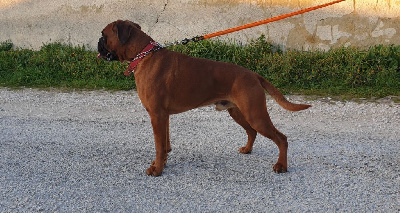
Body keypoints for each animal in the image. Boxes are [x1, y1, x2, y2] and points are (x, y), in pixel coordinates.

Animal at [98, 20, 310, 176]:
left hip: (255, 115)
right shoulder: (163, 117)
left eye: (103, 34)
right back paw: (247, 150)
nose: (98, 42)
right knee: (252, 132)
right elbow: (165, 144)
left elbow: (159, 146)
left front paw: (157, 170)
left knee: (281, 138)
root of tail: (253, 74)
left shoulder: (157, 115)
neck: (144, 54)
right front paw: (162, 163)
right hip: (238, 112)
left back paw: (281, 166)